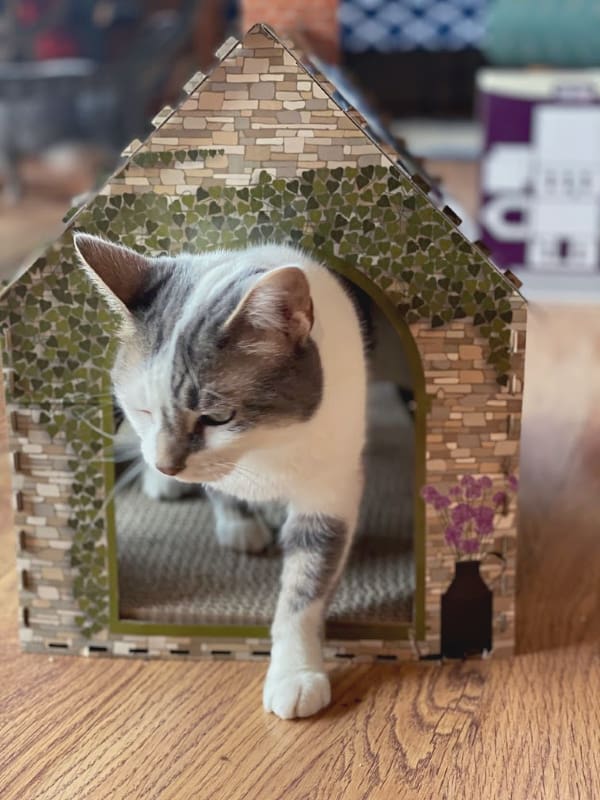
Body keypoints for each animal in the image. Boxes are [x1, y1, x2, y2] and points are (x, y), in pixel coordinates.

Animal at [74, 231, 366, 720]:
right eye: (142, 410)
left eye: (216, 417)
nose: (166, 463)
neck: (264, 450)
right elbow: (219, 489)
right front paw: (237, 522)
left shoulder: (330, 488)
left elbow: (304, 587)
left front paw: (295, 672)